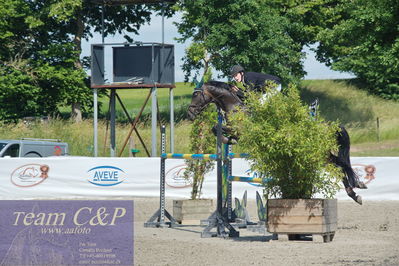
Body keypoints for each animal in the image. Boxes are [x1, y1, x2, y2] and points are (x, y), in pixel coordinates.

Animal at [188, 80, 368, 205]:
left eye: (195, 95)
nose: (189, 114)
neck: (235, 107)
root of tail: (327, 125)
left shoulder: (240, 131)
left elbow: (217, 128)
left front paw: (226, 139)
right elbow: (217, 128)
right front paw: (227, 139)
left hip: (319, 153)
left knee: (340, 165)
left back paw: (356, 190)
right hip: (321, 154)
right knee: (338, 166)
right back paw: (356, 191)